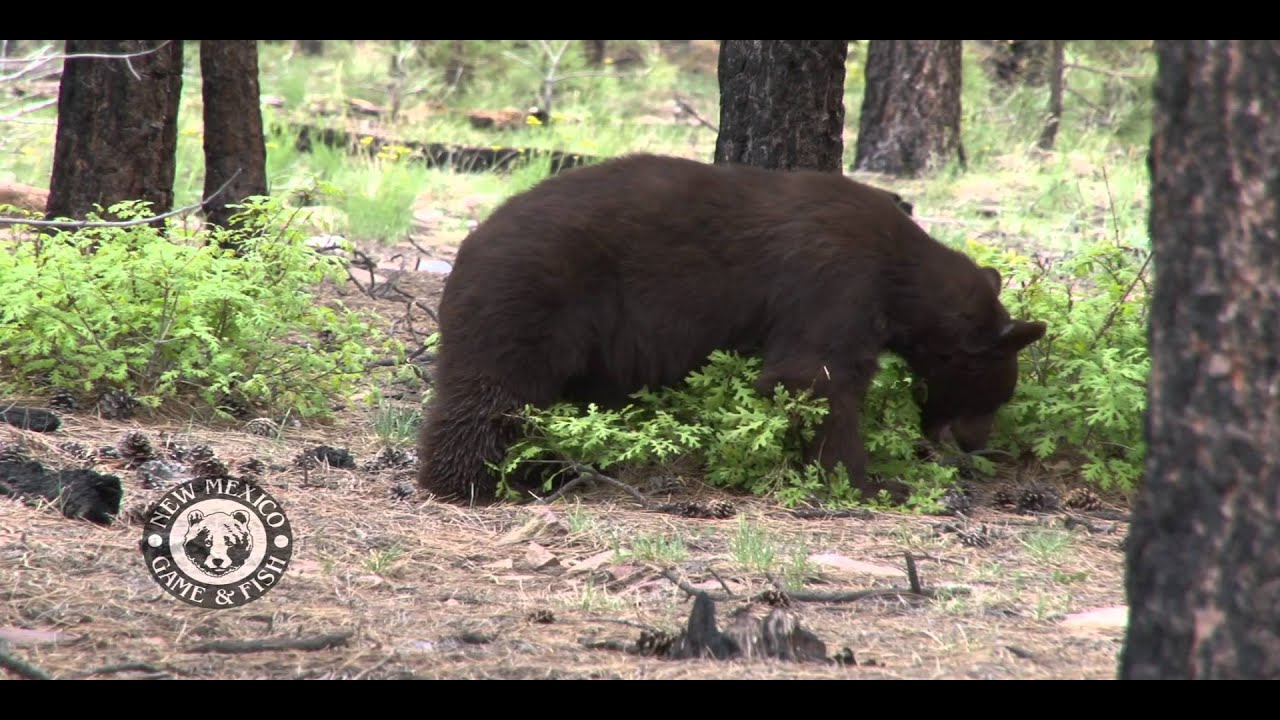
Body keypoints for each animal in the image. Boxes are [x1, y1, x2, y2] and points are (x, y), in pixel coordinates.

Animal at [416, 153, 1047, 505]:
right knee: (492, 388)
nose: (977, 442)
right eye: (993, 394)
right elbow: (813, 375)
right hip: (530, 298)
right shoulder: (836, 280)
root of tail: (469, 240)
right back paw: (467, 480)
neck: (904, 276)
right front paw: (870, 483)